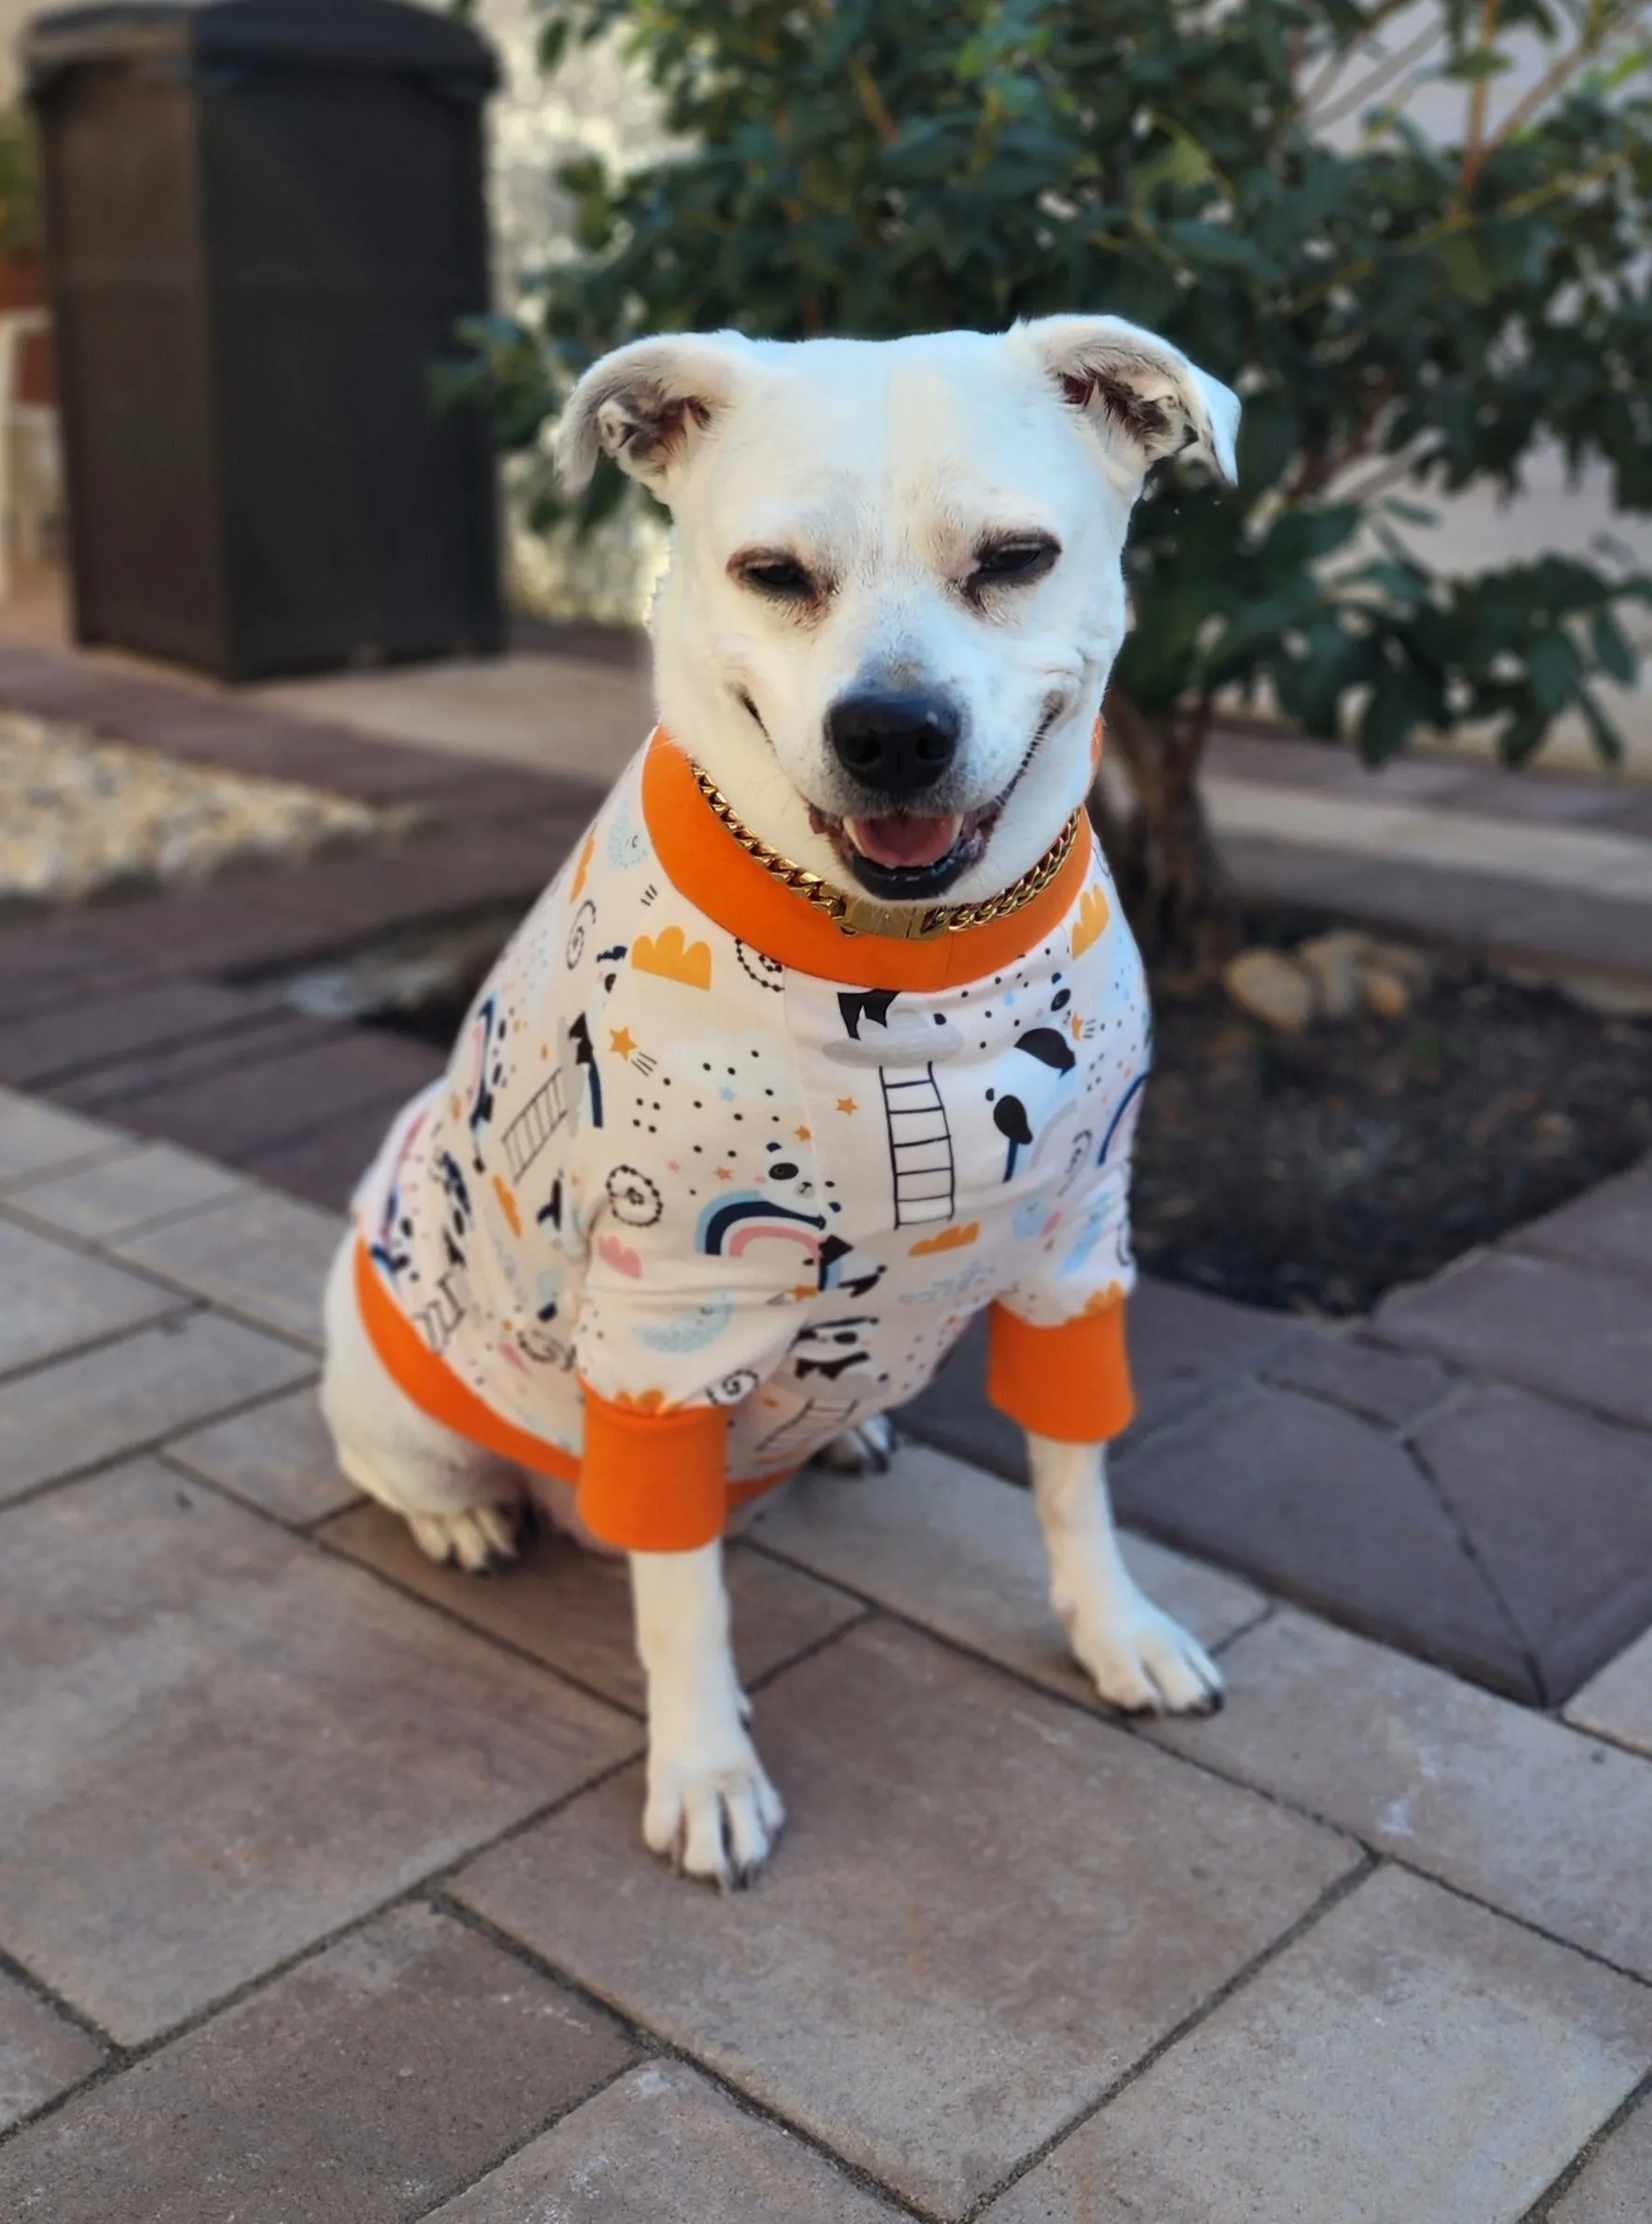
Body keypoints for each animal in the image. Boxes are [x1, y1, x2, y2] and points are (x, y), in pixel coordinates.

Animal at [322, 318, 1245, 1876]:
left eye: (1015, 557)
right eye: (772, 573)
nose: (893, 732)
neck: (913, 970)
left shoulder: (1077, 1250)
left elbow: (1075, 1471)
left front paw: (1114, 1631)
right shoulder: (664, 1325)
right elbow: (681, 1594)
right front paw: (704, 1769)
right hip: (401, 1357)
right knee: (416, 1465)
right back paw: (463, 1524)